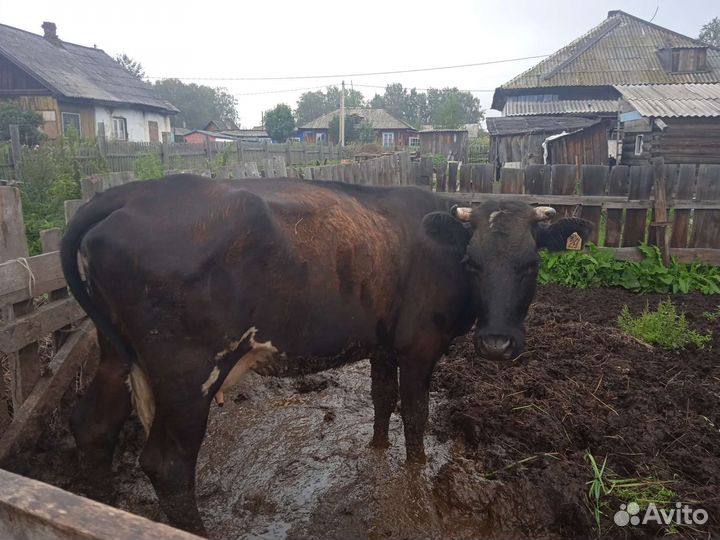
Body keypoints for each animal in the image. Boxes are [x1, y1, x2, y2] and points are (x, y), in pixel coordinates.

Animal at [60, 174, 591, 535]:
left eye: (531, 264)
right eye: (472, 262)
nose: (497, 343)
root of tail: (134, 191)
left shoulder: (382, 343)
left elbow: (382, 398)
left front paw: (377, 450)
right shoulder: (419, 347)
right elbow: (415, 413)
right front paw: (414, 470)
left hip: (117, 354)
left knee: (93, 427)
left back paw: (99, 508)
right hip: (186, 373)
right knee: (168, 464)